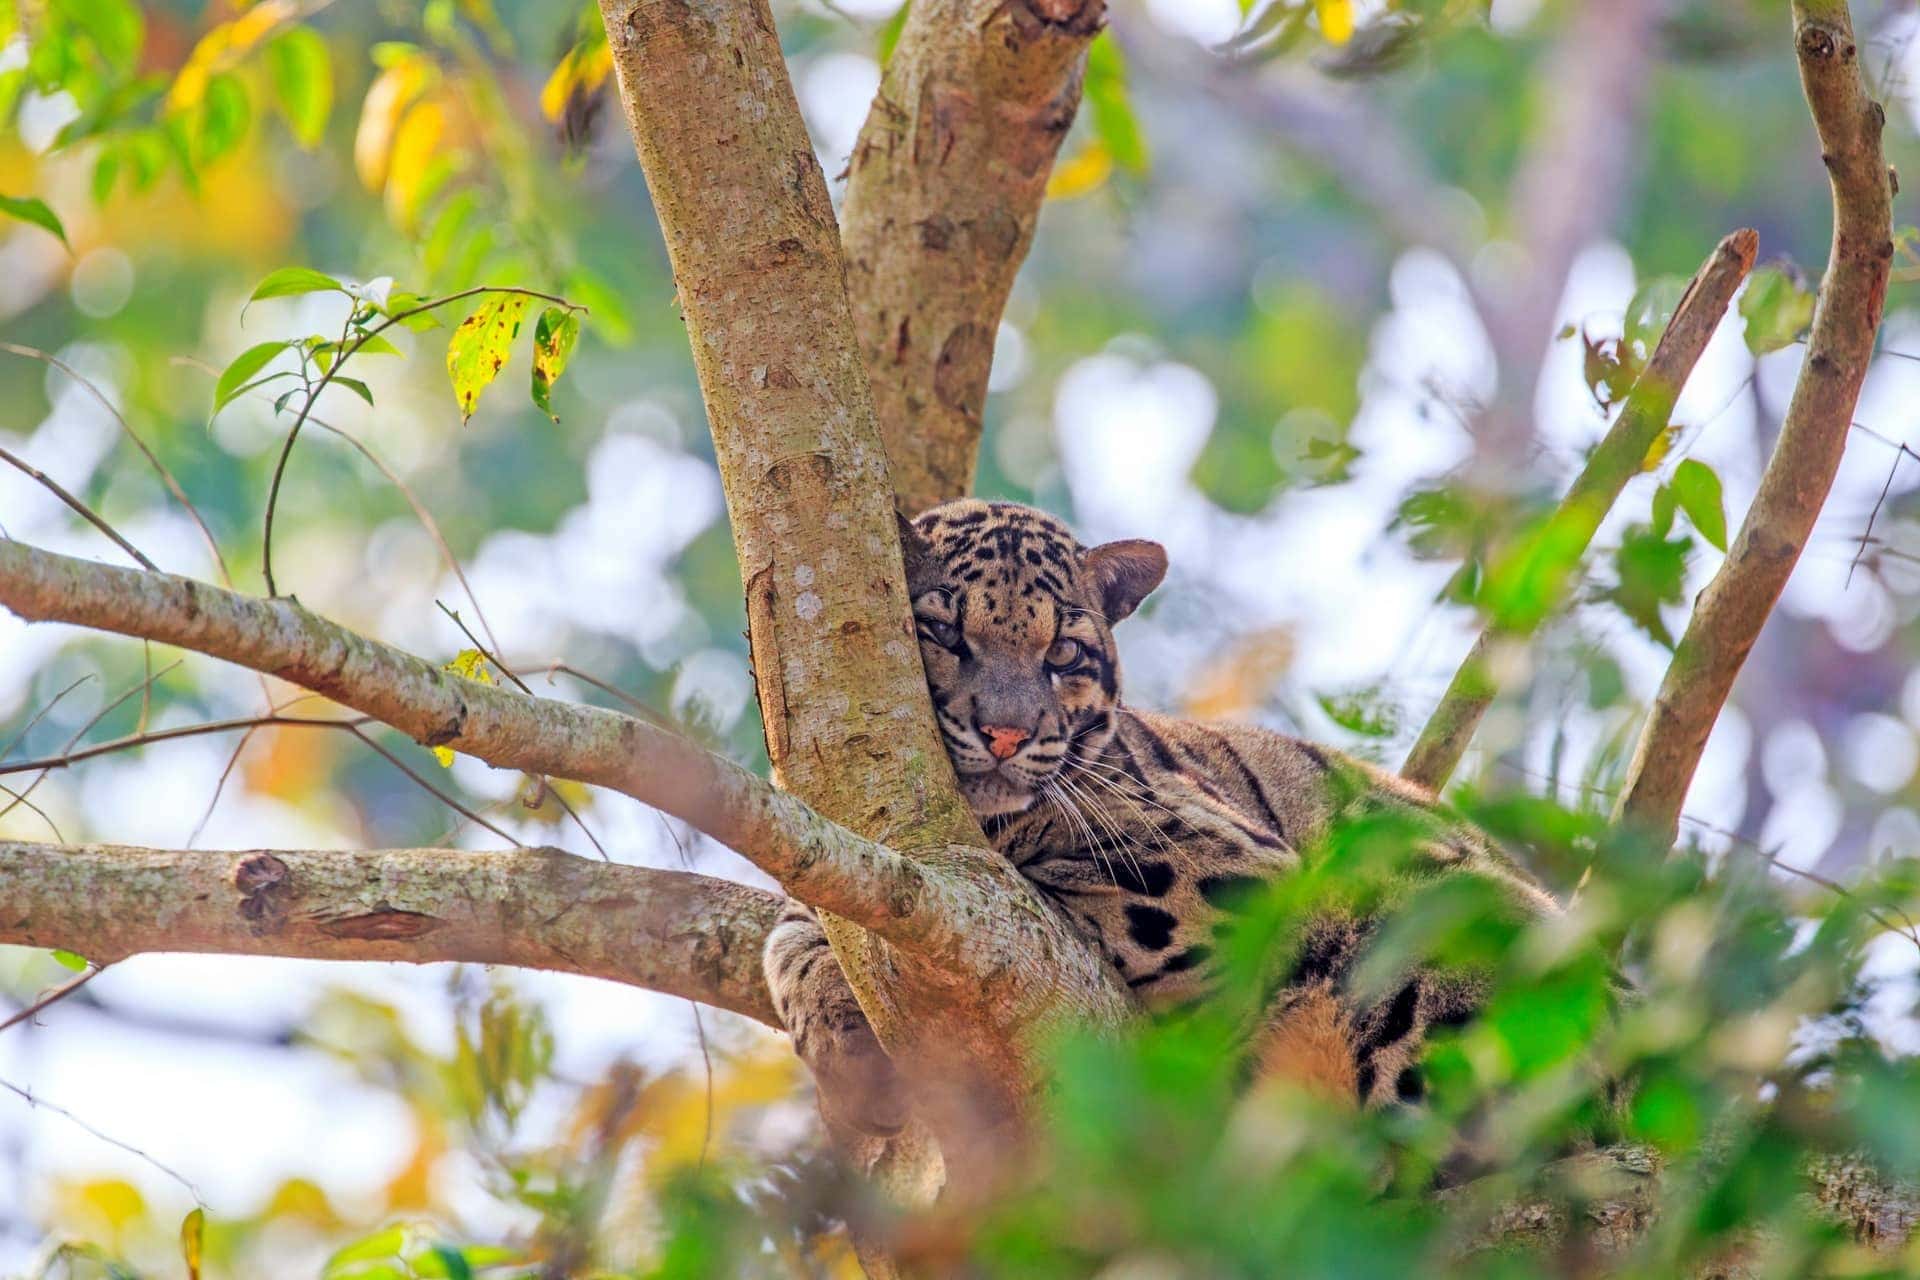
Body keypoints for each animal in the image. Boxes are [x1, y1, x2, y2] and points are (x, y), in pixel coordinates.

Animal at [764, 499, 1559, 1137]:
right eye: (943, 632)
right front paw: (839, 1034)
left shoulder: (1229, 863)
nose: (1006, 735)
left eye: (1064, 654)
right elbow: (792, 936)